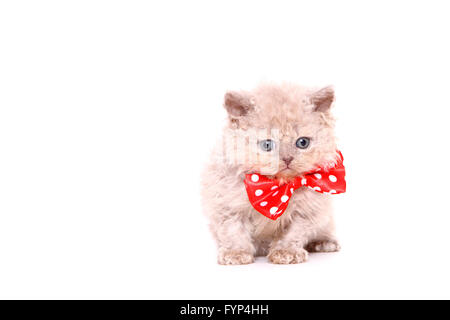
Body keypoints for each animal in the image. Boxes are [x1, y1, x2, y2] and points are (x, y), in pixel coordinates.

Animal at [202, 83, 346, 264]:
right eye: (267, 145)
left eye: (303, 142)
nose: (287, 158)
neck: (279, 186)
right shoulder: (226, 206)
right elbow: (234, 232)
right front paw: (236, 253)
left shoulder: (307, 212)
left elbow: (293, 234)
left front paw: (286, 252)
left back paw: (323, 242)